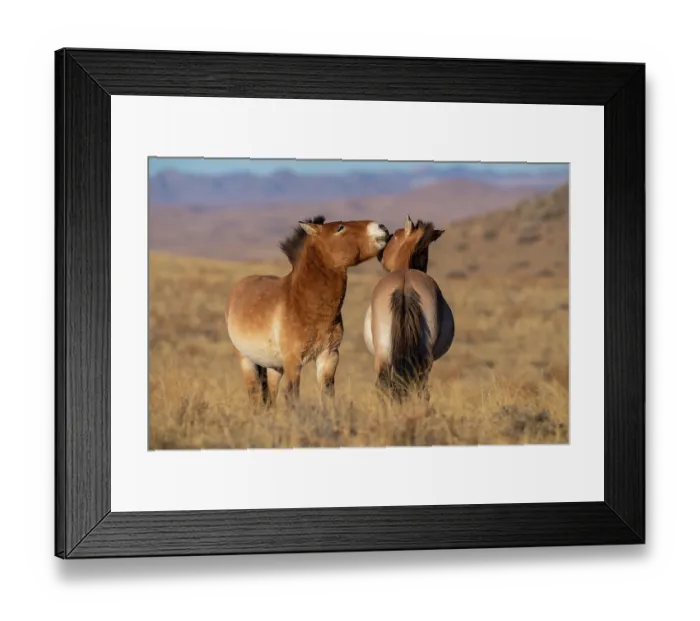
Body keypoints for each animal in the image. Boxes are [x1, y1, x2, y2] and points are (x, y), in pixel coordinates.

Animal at [226, 216, 390, 408]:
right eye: (340, 228)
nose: (382, 227)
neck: (306, 306)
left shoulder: (328, 356)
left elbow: (327, 394)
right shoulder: (293, 361)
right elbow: (292, 396)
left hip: (274, 366)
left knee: (271, 395)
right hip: (247, 360)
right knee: (255, 394)